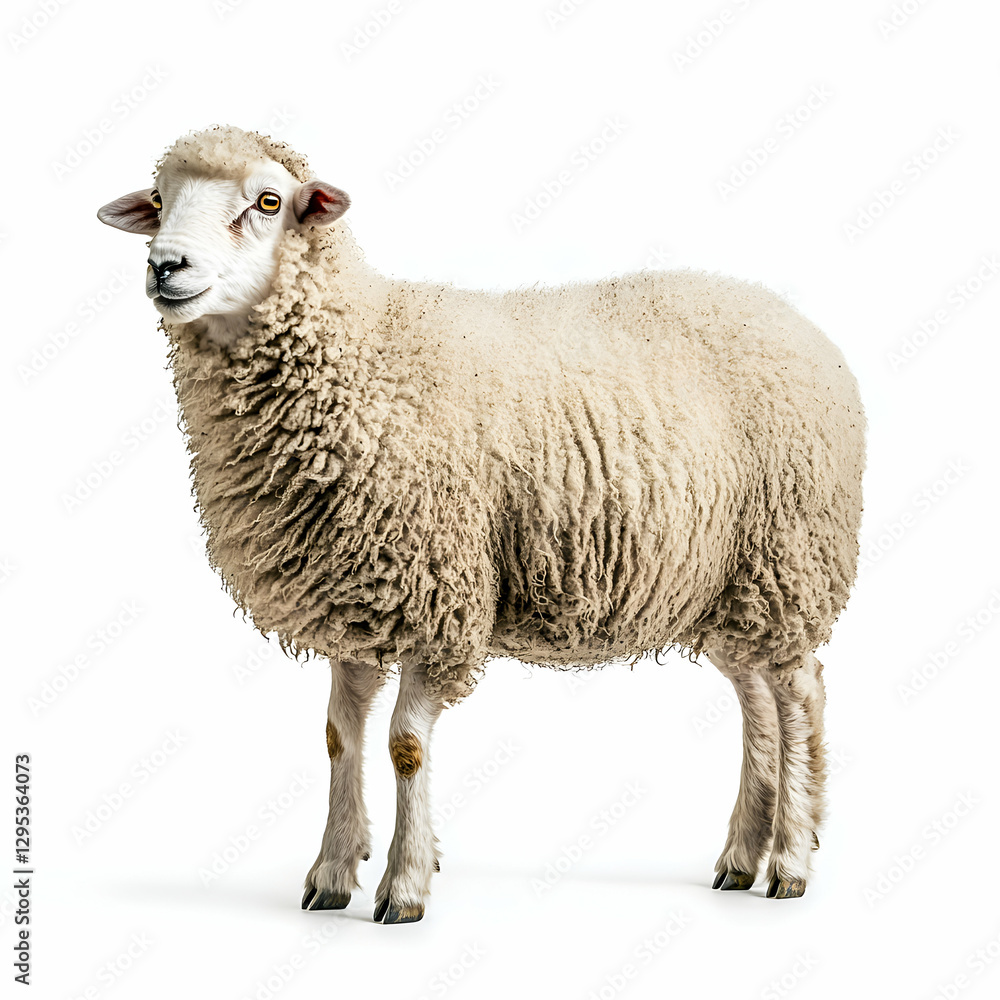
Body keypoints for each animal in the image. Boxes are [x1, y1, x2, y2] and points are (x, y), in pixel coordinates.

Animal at [97, 125, 866, 921]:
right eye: (158, 200)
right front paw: (332, 873)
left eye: (269, 201)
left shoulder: (438, 597)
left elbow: (405, 745)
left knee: (798, 695)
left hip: (789, 559)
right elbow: (340, 738)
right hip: (730, 585)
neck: (365, 356)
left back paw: (790, 860)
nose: (165, 265)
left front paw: (404, 885)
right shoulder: (353, 597)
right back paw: (743, 855)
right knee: (757, 699)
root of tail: (797, 321)